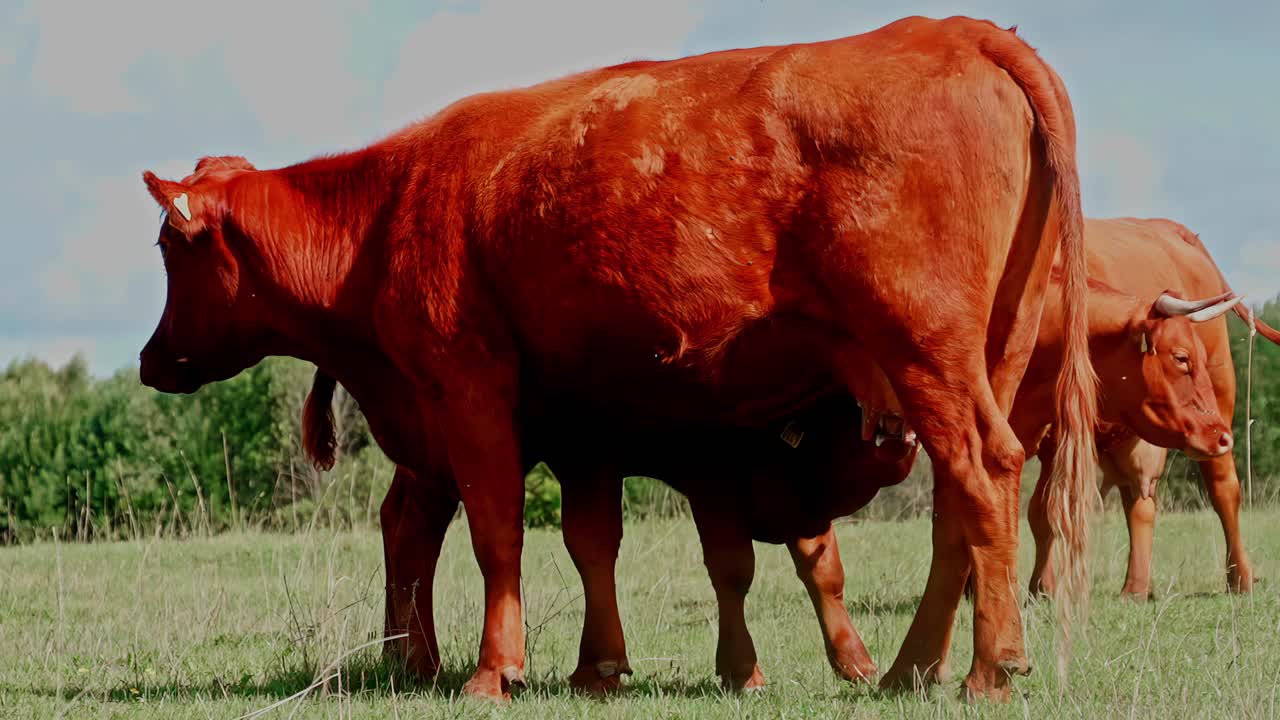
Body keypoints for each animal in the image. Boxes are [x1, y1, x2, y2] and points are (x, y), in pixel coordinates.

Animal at [138, 16, 1100, 701]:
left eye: (166, 247)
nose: (150, 360)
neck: (390, 209)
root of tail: (951, 29)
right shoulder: (583, 421)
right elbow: (589, 539)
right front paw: (596, 668)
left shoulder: (466, 388)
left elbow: (497, 529)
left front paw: (497, 671)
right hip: (989, 355)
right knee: (960, 507)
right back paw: (911, 669)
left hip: (926, 350)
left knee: (980, 473)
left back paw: (987, 668)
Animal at [1027, 217, 1280, 599]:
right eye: (1180, 358)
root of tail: (1169, 227)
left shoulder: (1057, 435)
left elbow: (1044, 510)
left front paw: (1042, 588)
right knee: (1138, 499)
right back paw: (1136, 587)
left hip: (1219, 401)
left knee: (1224, 489)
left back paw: (1239, 578)